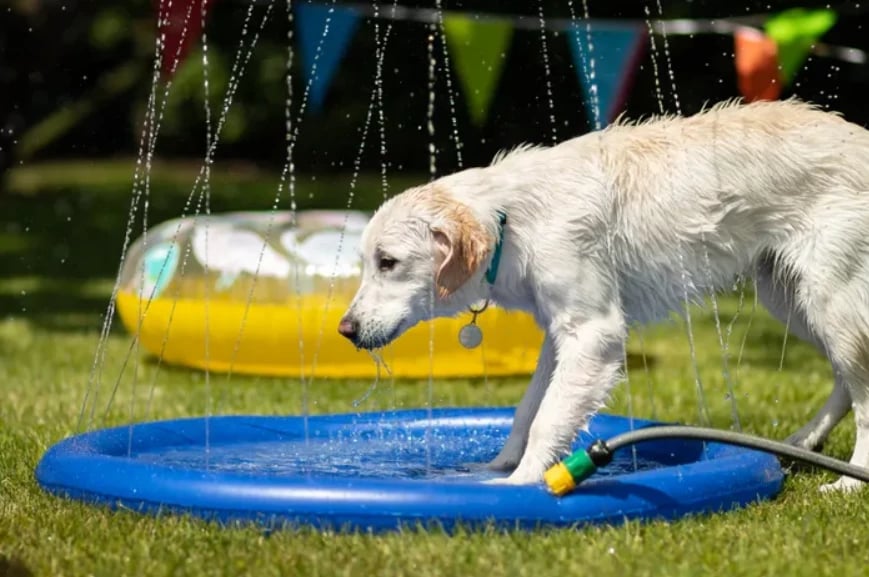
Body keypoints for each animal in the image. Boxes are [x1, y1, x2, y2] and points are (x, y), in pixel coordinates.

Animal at [338, 99, 868, 490]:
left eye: (388, 262)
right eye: (368, 262)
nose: (345, 329)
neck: (510, 218)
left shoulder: (594, 333)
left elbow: (547, 417)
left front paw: (521, 484)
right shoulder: (559, 336)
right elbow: (528, 410)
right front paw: (497, 467)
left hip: (830, 297)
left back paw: (850, 480)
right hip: (789, 298)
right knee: (845, 382)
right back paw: (806, 440)